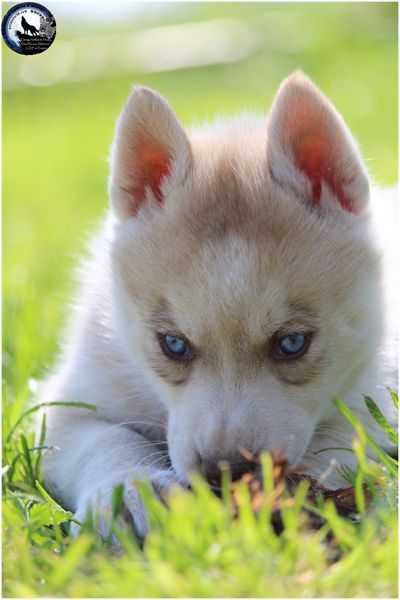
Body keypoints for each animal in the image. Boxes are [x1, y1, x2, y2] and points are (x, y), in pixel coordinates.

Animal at [42, 72, 398, 540]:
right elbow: (104, 440)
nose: (226, 473)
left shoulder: (375, 393)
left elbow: (340, 440)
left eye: (292, 343)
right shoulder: (68, 400)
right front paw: (129, 491)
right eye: (173, 344)